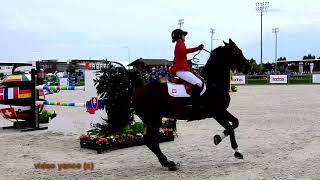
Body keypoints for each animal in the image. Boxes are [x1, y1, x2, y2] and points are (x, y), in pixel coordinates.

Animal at [95, 38, 250, 172]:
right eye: (237, 51)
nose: (248, 67)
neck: (213, 83)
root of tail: (135, 91)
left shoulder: (221, 111)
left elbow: (235, 124)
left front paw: (237, 152)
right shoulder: (217, 112)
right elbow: (230, 127)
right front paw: (217, 138)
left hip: (151, 120)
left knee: (149, 141)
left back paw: (166, 162)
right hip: (154, 120)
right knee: (151, 141)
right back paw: (168, 163)